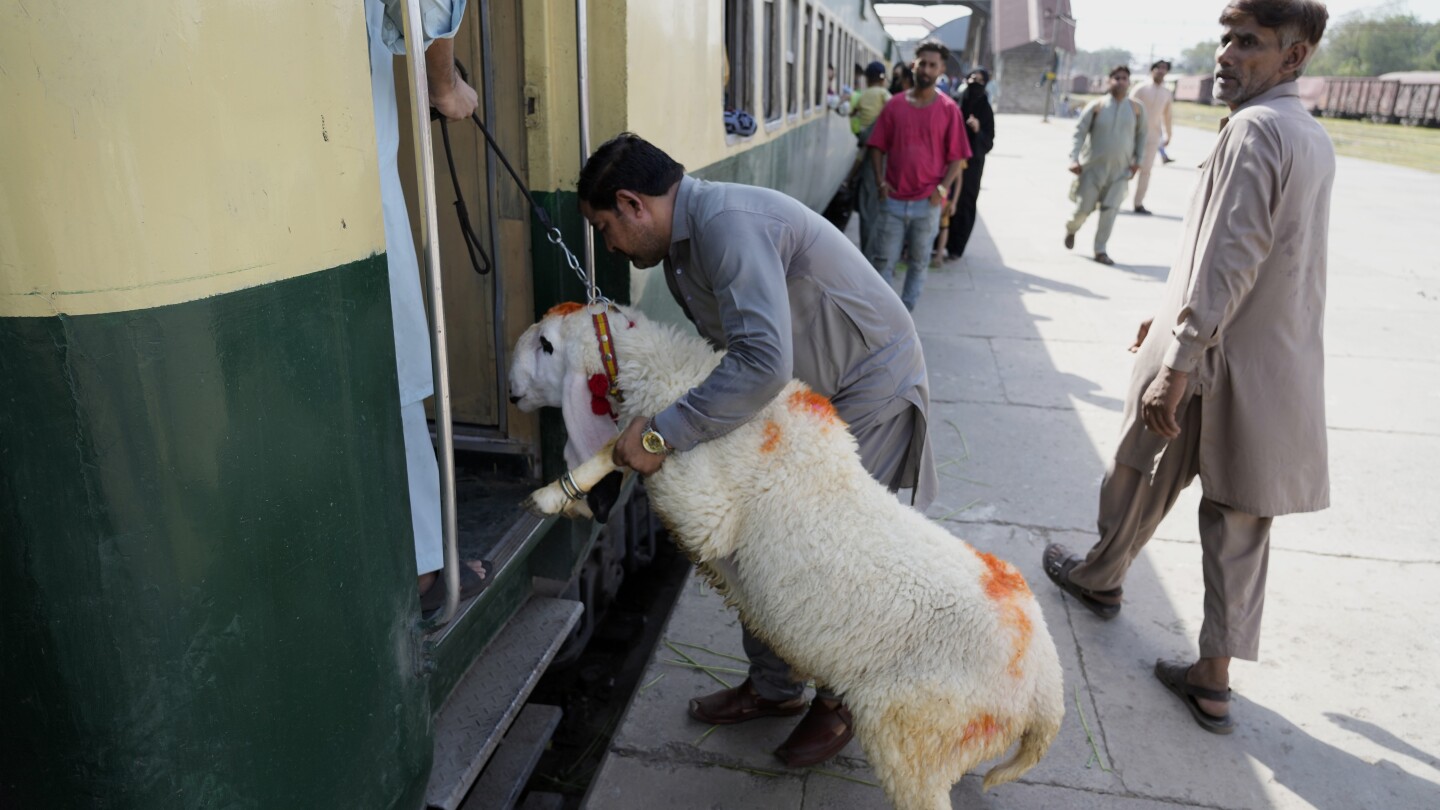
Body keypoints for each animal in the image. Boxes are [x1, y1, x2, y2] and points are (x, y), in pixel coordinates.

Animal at [512, 302, 1065, 807]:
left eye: (546, 345)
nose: (511, 387)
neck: (675, 379)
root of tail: (1047, 690)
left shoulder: (704, 509)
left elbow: (622, 452)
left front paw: (551, 496)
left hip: (914, 732)